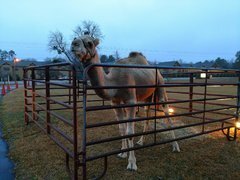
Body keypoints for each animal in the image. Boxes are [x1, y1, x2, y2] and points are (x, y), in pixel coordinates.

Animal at [71, 34, 180, 170]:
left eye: (89, 43)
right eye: (75, 39)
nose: (74, 44)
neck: (114, 82)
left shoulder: (131, 101)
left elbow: (129, 132)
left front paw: (132, 163)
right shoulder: (115, 102)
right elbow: (122, 129)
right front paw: (123, 152)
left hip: (160, 86)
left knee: (166, 112)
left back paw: (175, 146)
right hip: (147, 97)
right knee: (147, 115)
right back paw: (141, 141)